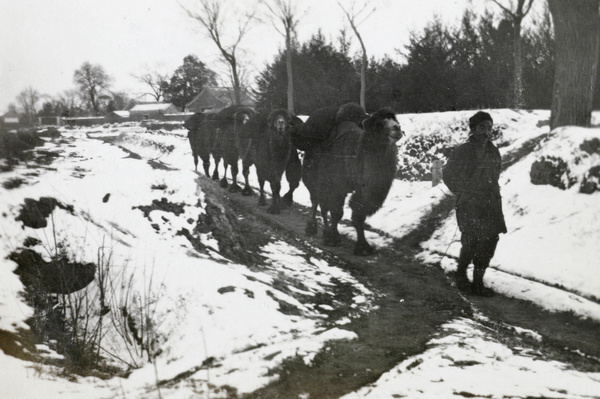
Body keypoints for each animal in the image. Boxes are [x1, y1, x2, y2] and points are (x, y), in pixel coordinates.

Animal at [300, 106, 404, 256]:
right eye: (378, 124)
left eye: (395, 120)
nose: (397, 128)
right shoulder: (337, 186)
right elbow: (337, 213)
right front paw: (334, 239)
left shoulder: (361, 190)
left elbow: (358, 214)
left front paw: (363, 247)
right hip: (312, 178)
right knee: (316, 200)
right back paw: (311, 228)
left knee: (323, 205)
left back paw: (325, 231)